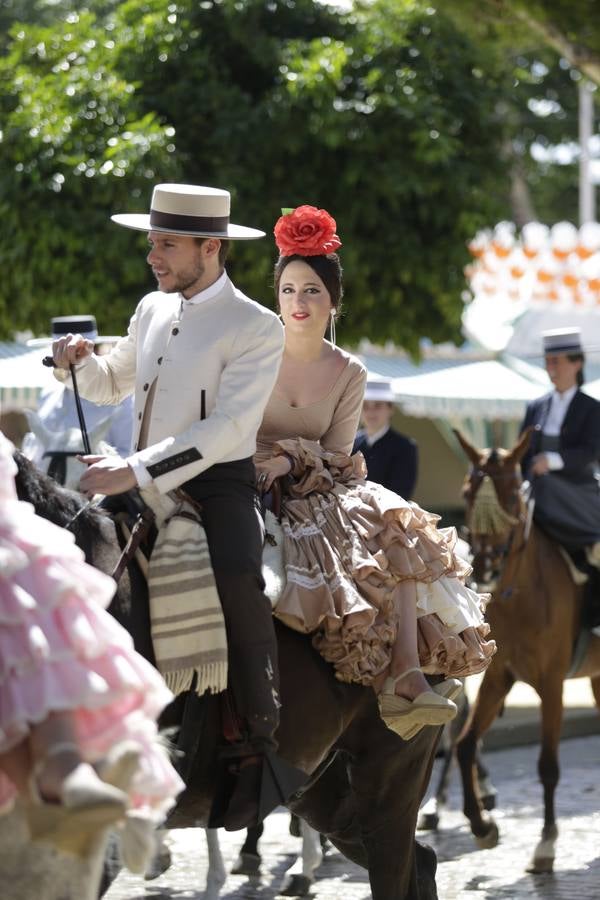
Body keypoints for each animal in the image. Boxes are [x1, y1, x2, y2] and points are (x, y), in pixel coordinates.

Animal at [454, 428, 600, 872]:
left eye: (512, 496)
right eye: (467, 492)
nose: (484, 566)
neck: (521, 594)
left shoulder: (552, 684)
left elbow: (548, 765)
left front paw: (546, 842)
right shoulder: (499, 675)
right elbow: (465, 745)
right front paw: (483, 827)